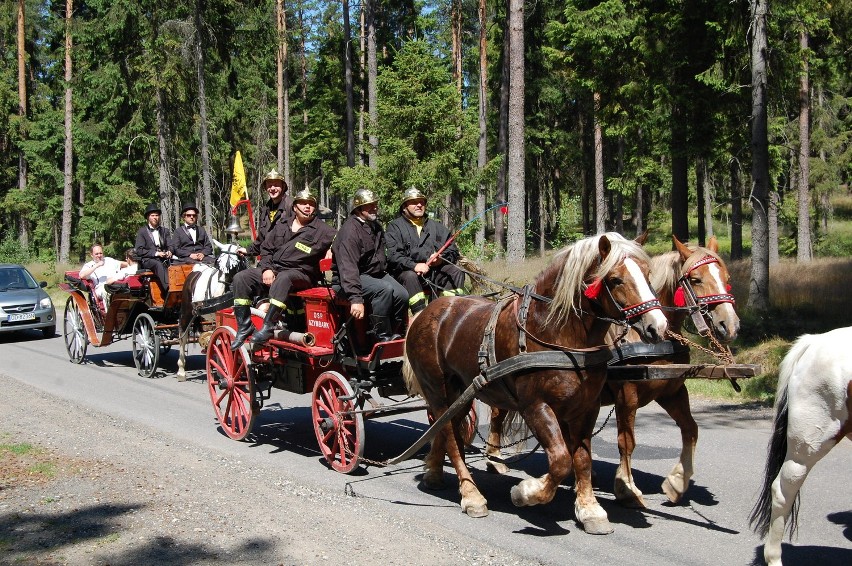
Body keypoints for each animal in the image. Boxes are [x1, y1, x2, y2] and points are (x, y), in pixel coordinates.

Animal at [176, 240, 245, 382]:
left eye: (233, 266)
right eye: (218, 265)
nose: (218, 294)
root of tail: (195, 271)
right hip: (186, 312)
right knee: (183, 336)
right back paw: (181, 370)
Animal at [402, 233, 668, 536]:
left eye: (648, 274)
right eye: (615, 280)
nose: (657, 326)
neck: (555, 332)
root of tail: (428, 311)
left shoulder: (586, 407)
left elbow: (582, 459)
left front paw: (590, 510)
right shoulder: (536, 407)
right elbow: (561, 460)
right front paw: (526, 492)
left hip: (462, 392)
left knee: (447, 429)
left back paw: (434, 472)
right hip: (438, 389)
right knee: (449, 435)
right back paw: (471, 495)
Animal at [486, 235, 740, 510]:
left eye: (726, 277)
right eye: (695, 279)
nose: (731, 325)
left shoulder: (671, 392)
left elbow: (690, 429)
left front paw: (676, 483)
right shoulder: (626, 394)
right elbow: (626, 441)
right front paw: (626, 488)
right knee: (498, 413)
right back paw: (494, 459)